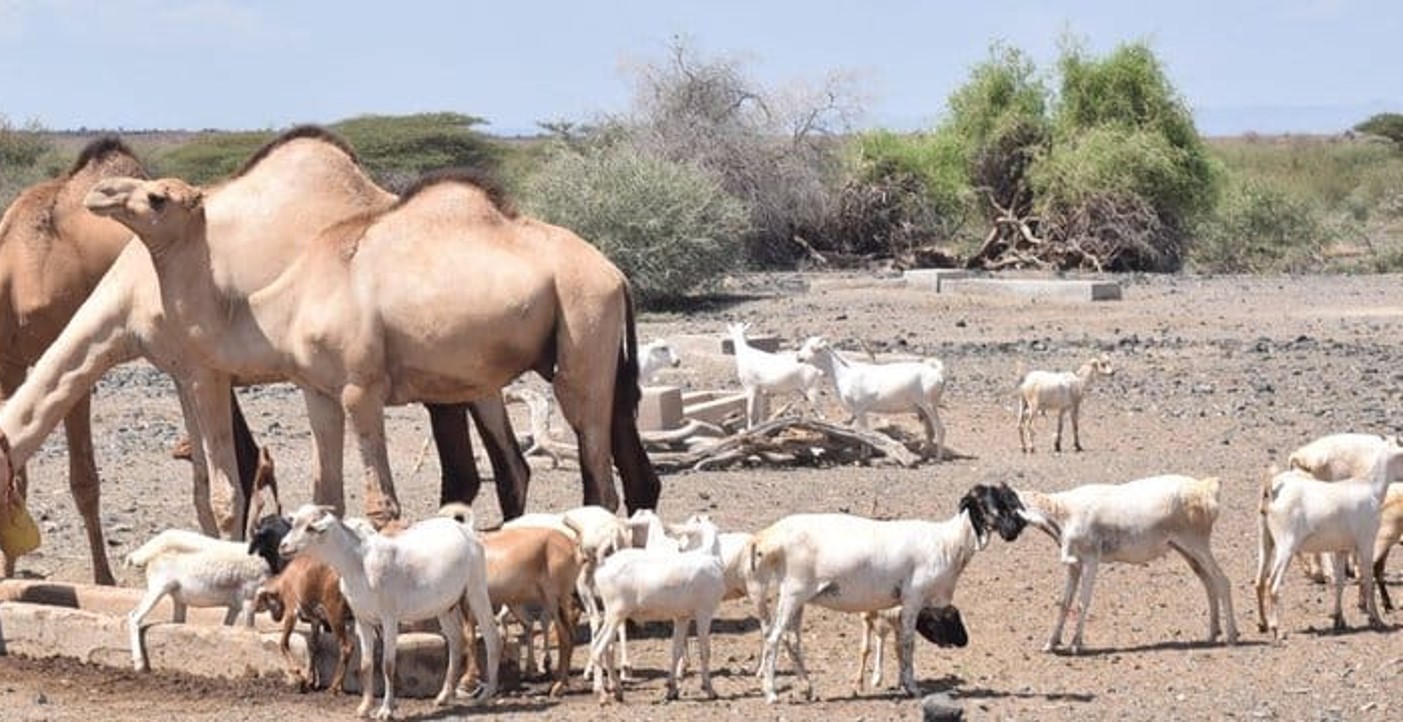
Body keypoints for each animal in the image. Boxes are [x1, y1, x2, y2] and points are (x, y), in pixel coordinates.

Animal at [0, 128, 532, 546]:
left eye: (155, 198)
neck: (129, 298)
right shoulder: (179, 371)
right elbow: (201, 486)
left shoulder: (206, 371)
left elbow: (226, 487)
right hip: (467, 364)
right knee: (507, 462)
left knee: (466, 469)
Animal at [83, 165, 661, 525]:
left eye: (156, 197)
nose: (98, 193)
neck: (281, 306)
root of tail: (617, 274)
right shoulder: (316, 391)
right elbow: (327, 498)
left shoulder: (361, 387)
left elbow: (381, 502)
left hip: (584, 328)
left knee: (596, 470)